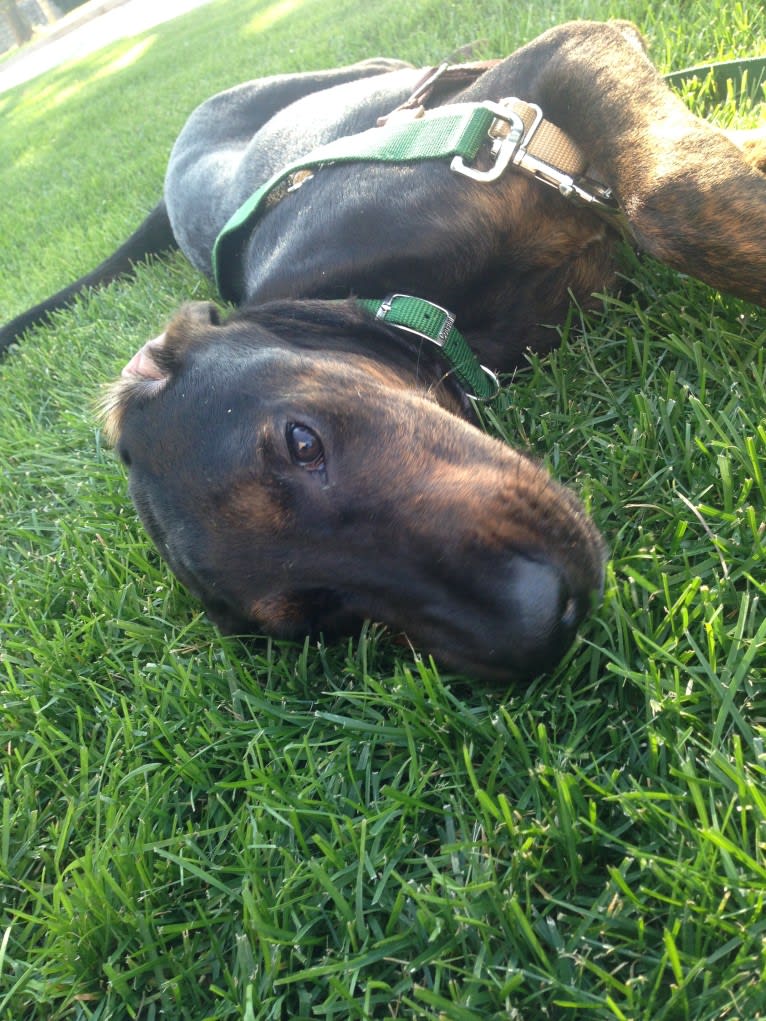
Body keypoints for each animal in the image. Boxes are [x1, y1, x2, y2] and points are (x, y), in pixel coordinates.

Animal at [3, 21, 763, 677]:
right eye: (325, 615)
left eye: (302, 442)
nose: (546, 620)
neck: (418, 309)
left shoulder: (555, 65)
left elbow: (672, 201)